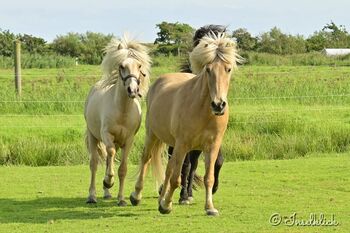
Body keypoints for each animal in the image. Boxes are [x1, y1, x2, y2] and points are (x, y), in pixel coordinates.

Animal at [85, 36, 151, 206]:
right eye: (122, 66)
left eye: (139, 66)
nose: (132, 90)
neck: (122, 111)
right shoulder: (107, 135)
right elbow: (110, 154)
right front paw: (108, 181)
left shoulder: (128, 140)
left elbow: (122, 169)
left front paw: (121, 199)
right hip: (93, 137)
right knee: (94, 164)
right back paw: (92, 195)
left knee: (109, 161)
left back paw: (107, 193)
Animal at [130, 32, 239, 215]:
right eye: (208, 69)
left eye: (228, 69)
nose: (218, 105)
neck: (203, 112)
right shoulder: (183, 144)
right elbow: (177, 178)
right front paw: (167, 205)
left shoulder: (212, 146)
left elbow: (208, 178)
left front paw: (210, 207)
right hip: (153, 134)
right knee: (146, 158)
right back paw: (136, 196)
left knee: (168, 169)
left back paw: (160, 199)